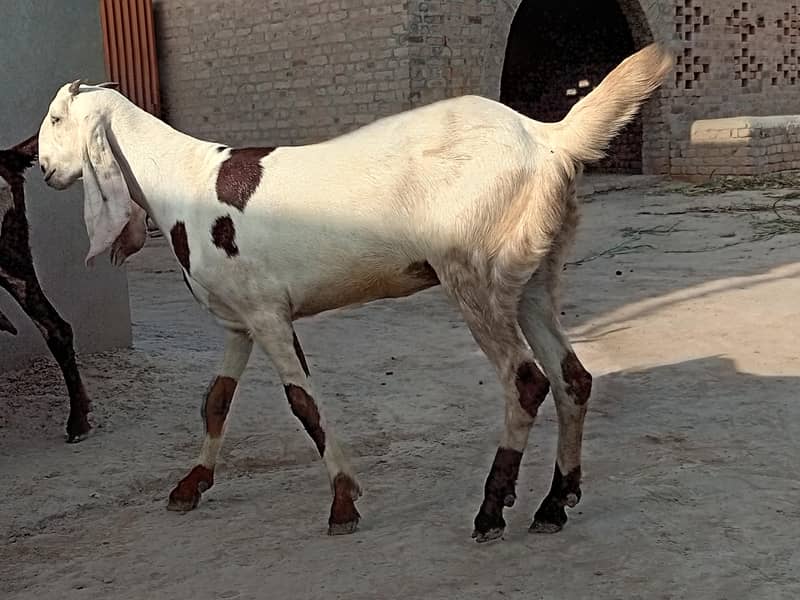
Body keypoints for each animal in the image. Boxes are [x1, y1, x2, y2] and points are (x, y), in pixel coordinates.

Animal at [38, 44, 672, 540]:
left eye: (56, 119)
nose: (42, 169)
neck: (183, 177)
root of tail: (546, 138)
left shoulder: (269, 316)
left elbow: (304, 404)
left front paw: (343, 500)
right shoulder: (242, 319)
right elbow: (216, 399)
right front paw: (190, 485)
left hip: (472, 273)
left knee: (527, 382)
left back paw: (493, 511)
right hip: (531, 275)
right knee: (572, 379)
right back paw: (554, 504)